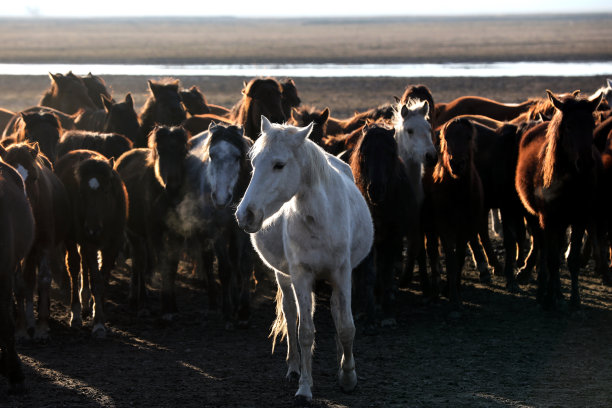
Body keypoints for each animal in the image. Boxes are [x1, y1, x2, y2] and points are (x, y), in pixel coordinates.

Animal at [2, 142, 70, 340]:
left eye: (33, 177)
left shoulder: (44, 245)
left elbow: (44, 279)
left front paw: (42, 326)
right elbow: (19, 284)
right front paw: (21, 329)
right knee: (28, 281)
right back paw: (29, 320)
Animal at [55, 148, 128, 336]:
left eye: (106, 191)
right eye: (81, 193)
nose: (92, 229)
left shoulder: (112, 245)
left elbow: (102, 279)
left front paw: (98, 312)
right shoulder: (90, 243)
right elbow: (96, 280)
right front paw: (98, 323)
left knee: (84, 264)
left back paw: (87, 301)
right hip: (73, 239)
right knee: (74, 266)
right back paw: (76, 313)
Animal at [235, 115, 372, 402]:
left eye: (279, 165)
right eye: (254, 163)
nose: (245, 215)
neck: (320, 217)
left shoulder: (342, 273)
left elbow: (346, 327)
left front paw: (348, 377)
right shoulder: (300, 275)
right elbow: (305, 331)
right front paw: (305, 388)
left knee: (335, 311)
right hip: (285, 277)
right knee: (290, 314)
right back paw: (295, 367)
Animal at [516, 91, 608, 308]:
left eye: (592, 124)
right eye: (569, 126)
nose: (586, 162)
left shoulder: (579, 218)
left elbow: (570, 258)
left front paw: (574, 299)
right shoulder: (548, 219)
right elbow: (551, 259)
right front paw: (549, 298)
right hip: (535, 217)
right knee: (542, 246)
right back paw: (543, 288)